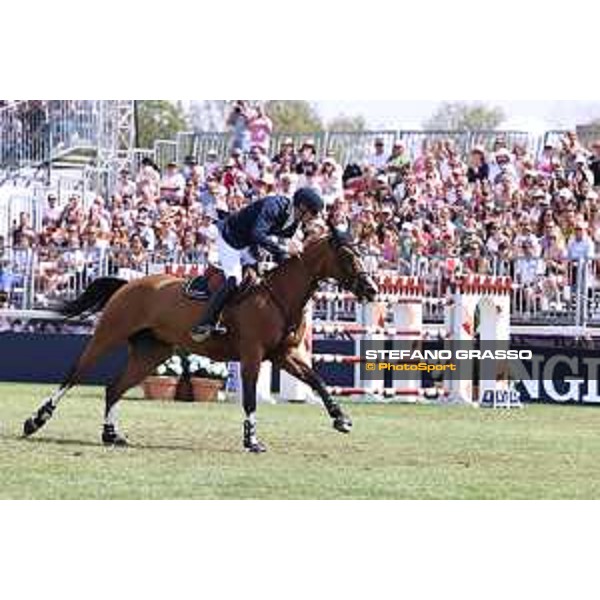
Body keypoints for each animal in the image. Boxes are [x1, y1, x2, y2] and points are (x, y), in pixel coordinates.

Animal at [24, 227, 380, 452]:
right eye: (348, 256)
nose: (372, 290)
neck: (279, 296)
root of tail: (128, 283)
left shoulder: (285, 354)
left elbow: (317, 380)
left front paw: (341, 419)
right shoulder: (252, 355)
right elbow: (250, 399)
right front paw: (252, 441)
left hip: (151, 352)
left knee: (114, 388)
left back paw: (111, 436)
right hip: (108, 335)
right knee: (74, 375)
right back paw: (35, 421)